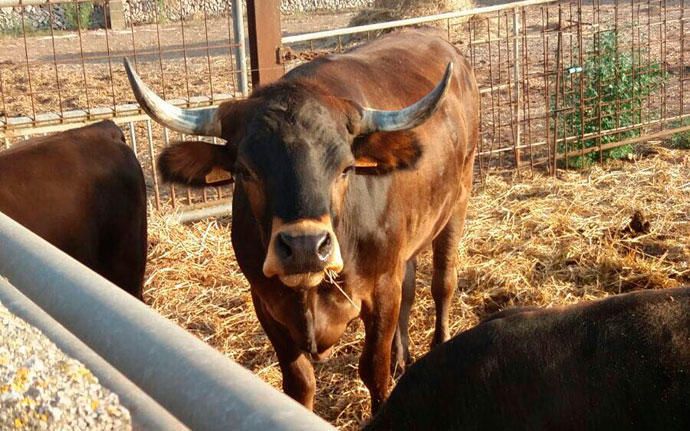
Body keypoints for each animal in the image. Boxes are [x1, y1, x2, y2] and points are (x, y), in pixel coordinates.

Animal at [125, 27, 478, 412]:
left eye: (346, 167)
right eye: (245, 170)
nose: (306, 247)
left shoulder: (382, 289)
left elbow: (374, 371)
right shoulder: (266, 302)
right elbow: (299, 382)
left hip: (459, 199)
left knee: (443, 282)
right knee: (412, 284)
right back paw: (403, 358)